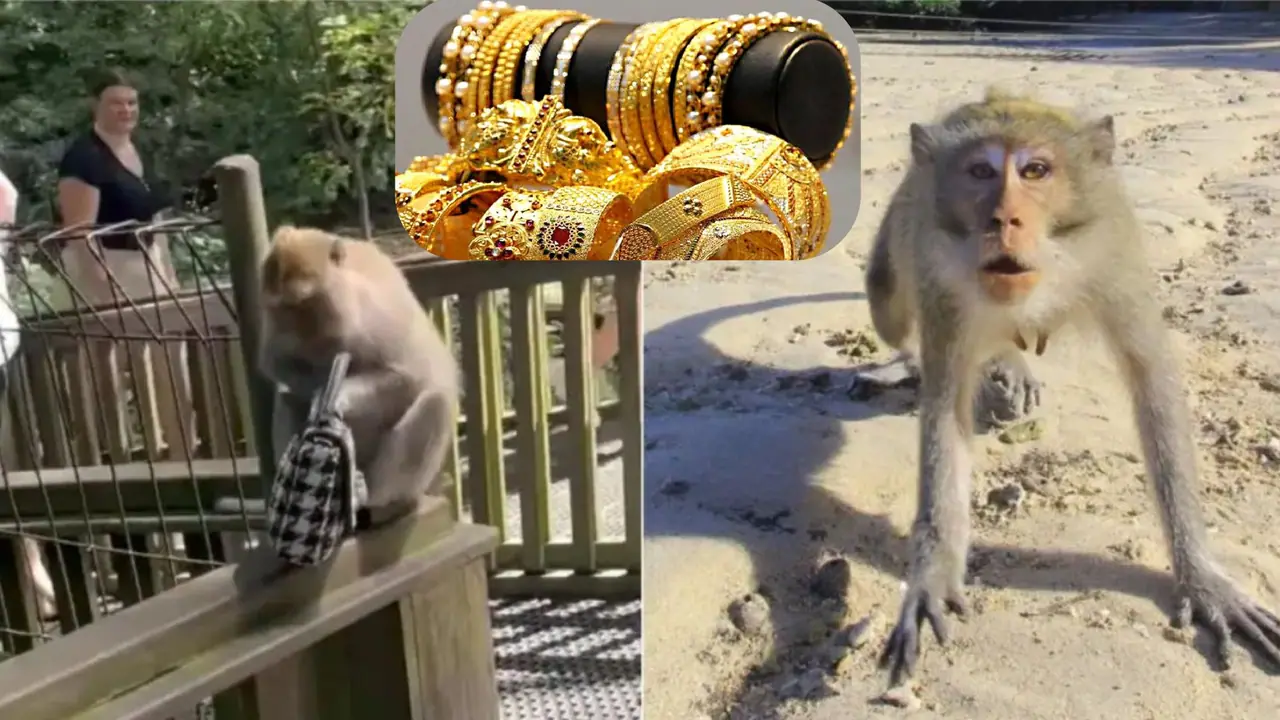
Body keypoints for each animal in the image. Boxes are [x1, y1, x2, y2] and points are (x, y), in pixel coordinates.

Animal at [258, 226, 459, 526]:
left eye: (301, 303)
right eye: (280, 308)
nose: (289, 329)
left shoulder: (377, 322)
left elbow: (408, 378)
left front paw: (334, 396)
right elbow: (276, 364)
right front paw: (318, 389)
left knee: (436, 403)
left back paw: (372, 499)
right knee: (287, 399)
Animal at [866, 89, 1280, 687]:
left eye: (1035, 171)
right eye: (980, 172)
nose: (1004, 218)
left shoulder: (1113, 252)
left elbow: (1152, 381)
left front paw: (1201, 575)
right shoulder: (938, 274)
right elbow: (945, 410)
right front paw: (932, 577)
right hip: (904, 228)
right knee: (889, 307)